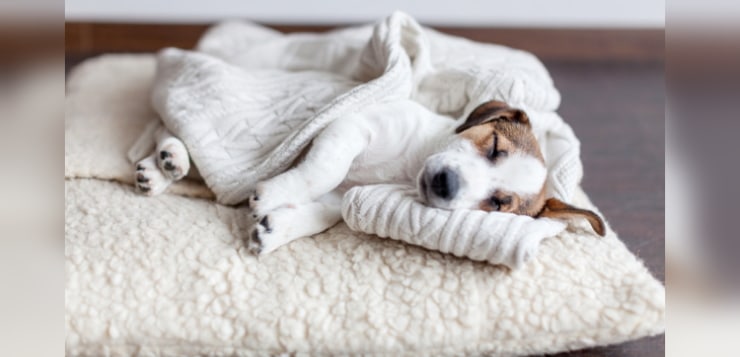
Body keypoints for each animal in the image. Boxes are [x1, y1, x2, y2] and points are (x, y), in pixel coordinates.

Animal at [136, 98, 604, 253]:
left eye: (498, 204)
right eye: (493, 147)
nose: (445, 185)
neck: (411, 163)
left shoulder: (342, 192)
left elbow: (323, 211)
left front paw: (276, 228)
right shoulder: (348, 127)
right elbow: (322, 172)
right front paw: (275, 193)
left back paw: (162, 169)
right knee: (164, 126)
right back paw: (169, 156)